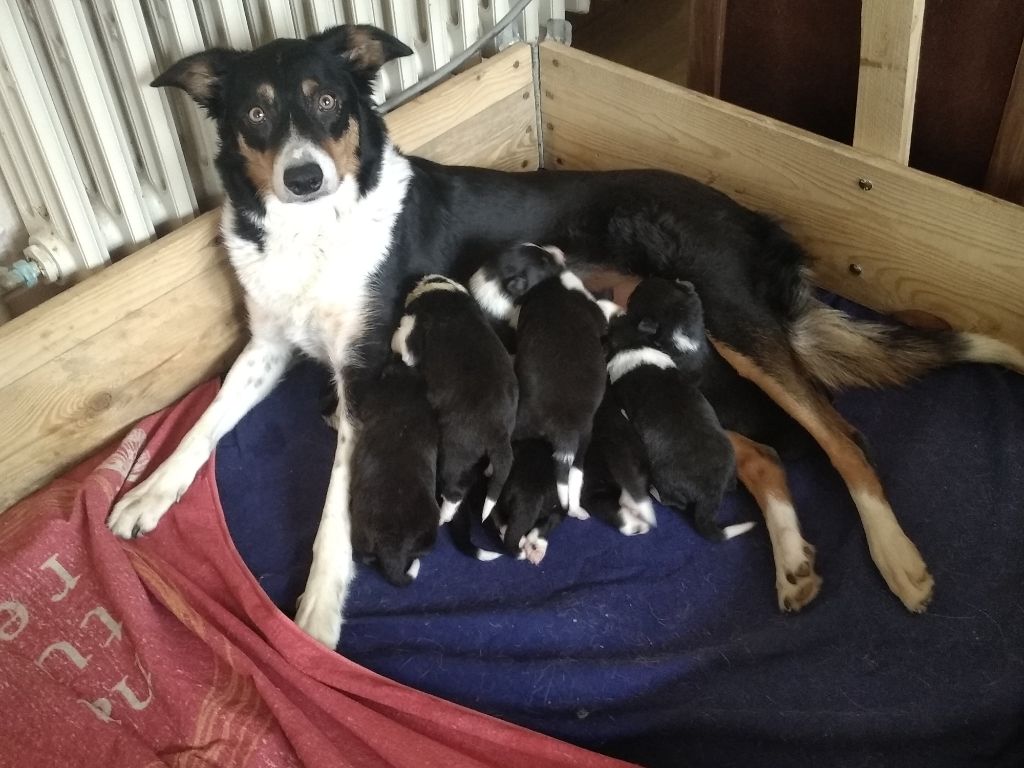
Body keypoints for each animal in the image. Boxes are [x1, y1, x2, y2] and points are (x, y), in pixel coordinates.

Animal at [350, 358, 438, 585]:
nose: (395, 359)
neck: (408, 391)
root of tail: (394, 544)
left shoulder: (371, 400)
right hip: (429, 533)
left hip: (361, 535)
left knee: (364, 555)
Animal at [391, 274, 520, 524]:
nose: (422, 278)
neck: (445, 292)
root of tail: (497, 430)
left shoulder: (413, 337)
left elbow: (401, 337)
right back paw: (490, 469)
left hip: (455, 454)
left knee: (455, 493)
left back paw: (443, 517)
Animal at [468, 244, 606, 524]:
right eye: (543, 262)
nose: (560, 251)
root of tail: (562, 428)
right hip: (585, 436)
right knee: (575, 475)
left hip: (519, 424)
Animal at [606, 282, 753, 540]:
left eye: (633, 300)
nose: (624, 296)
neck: (634, 342)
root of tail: (710, 494)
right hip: (730, 465)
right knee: (732, 486)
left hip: (665, 476)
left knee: (675, 502)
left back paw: (654, 492)